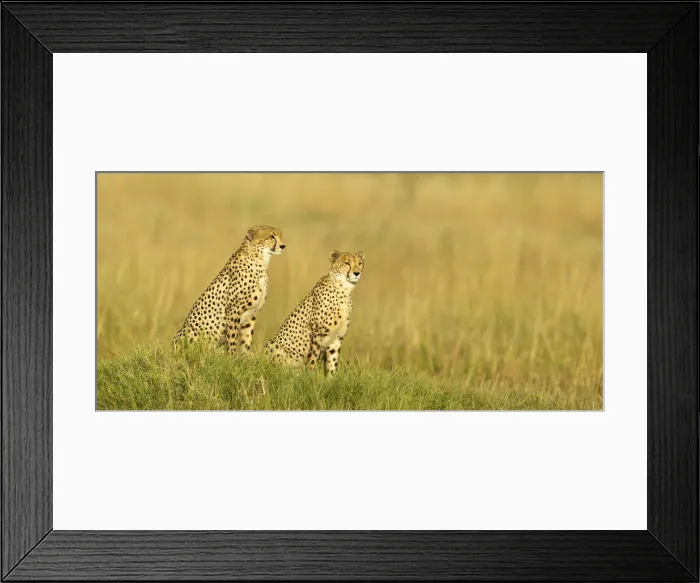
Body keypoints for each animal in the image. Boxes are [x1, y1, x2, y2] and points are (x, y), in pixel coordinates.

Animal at [172, 225, 285, 354]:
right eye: (271, 237)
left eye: (280, 235)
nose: (283, 246)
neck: (260, 262)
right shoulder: (234, 311)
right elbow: (232, 338)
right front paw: (231, 356)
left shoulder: (251, 314)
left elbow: (247, 339)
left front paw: (246, 357)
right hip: (191, 330)